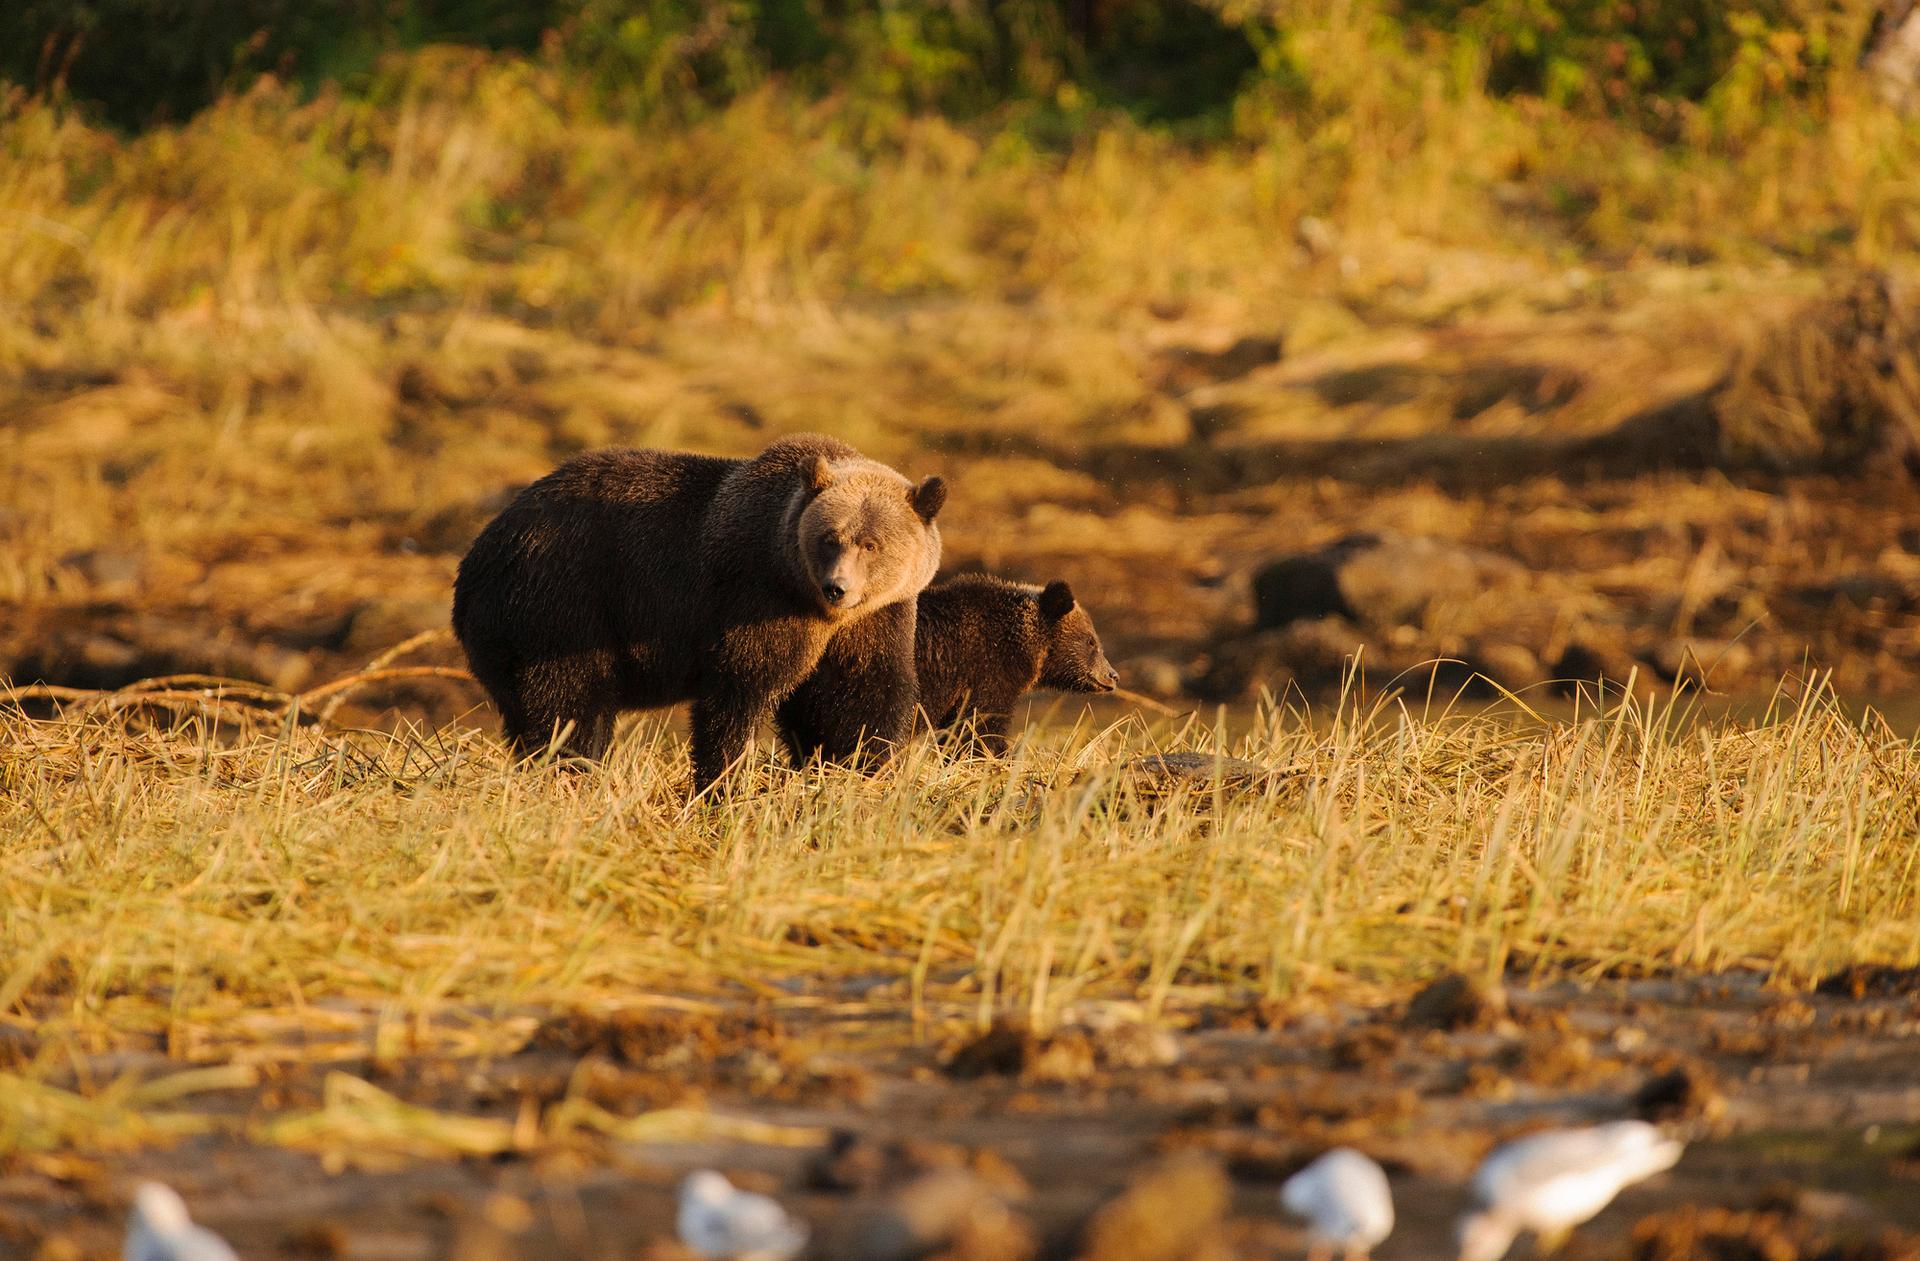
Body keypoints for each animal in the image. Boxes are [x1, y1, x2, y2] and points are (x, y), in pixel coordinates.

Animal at [456, 433, 952, 786]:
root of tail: (483, 546)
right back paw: (571, 771)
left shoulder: (873, 619)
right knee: (567, 704)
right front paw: (724, 780)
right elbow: (740, 691)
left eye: (872, 544)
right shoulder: (756, 600)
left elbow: (861, 694)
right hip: (560, 604)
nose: (838, 588)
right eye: (830, 538)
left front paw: (857, 765)